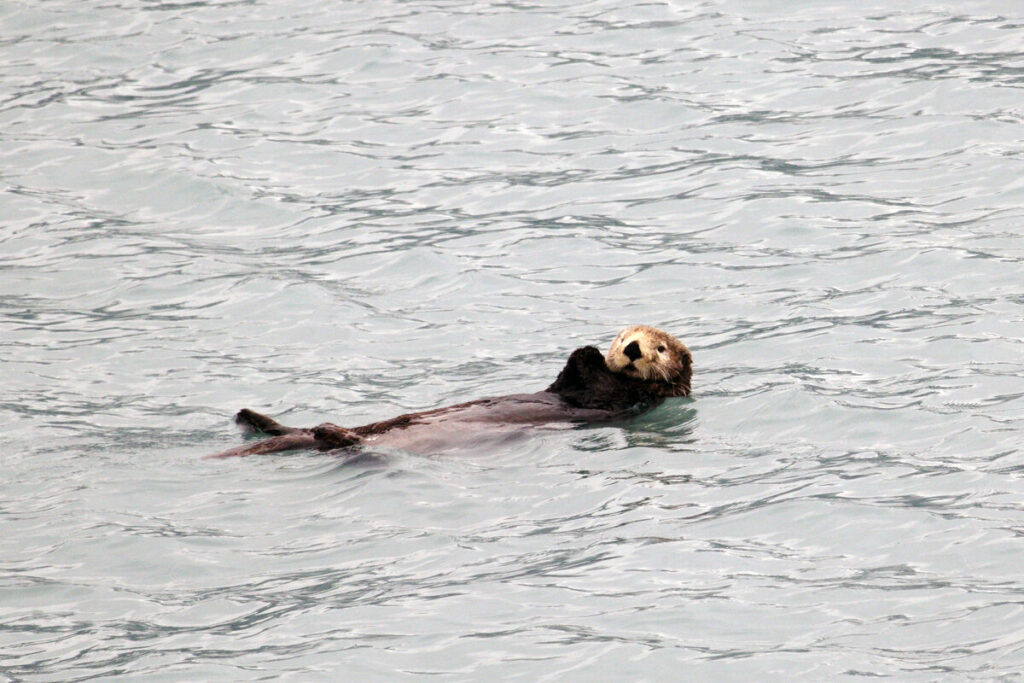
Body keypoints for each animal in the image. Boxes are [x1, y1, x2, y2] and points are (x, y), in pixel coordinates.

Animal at [205, 325, 691, 458]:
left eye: (660, 347)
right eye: (625, 335)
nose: (630, 348)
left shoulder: (617, 400)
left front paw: (590, 354)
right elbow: (567, 377)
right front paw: (590, 349)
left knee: (344, 442)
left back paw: (329, 432)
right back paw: (251, 418)